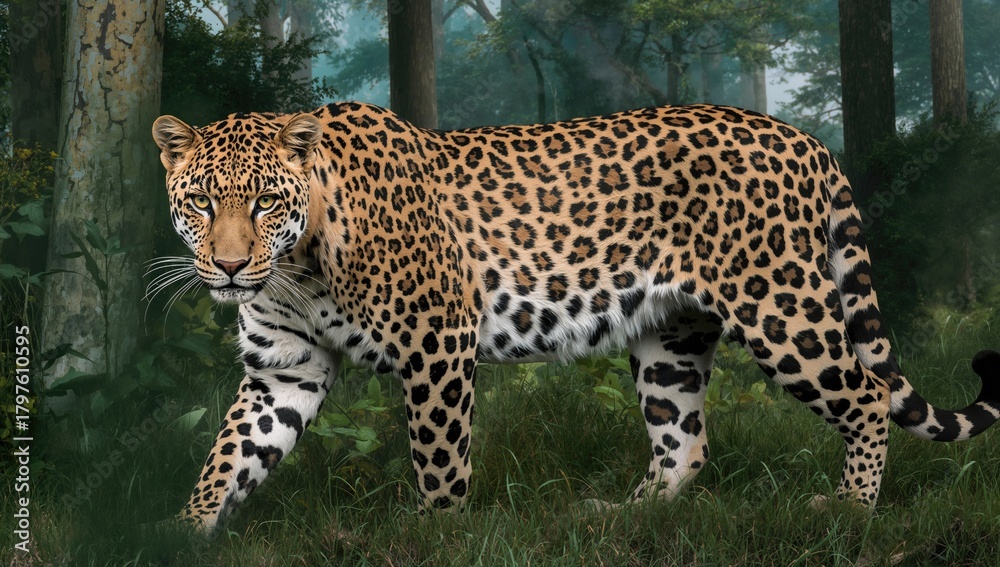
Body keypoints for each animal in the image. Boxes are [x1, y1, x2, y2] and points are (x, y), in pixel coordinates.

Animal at [152, 102, 1000, 533]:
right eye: (201, 201)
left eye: (265, 200)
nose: (230, 267)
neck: (297, 265)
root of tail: (802, 136)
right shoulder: (282, 369)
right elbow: (231, 453)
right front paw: (183, 530)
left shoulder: (437, 342)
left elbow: (438, 456)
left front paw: (437, 533)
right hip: (671, 336)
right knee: (685, 442)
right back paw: (623, 518)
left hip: (780, 305)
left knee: (866, 393)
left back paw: (853, 507)